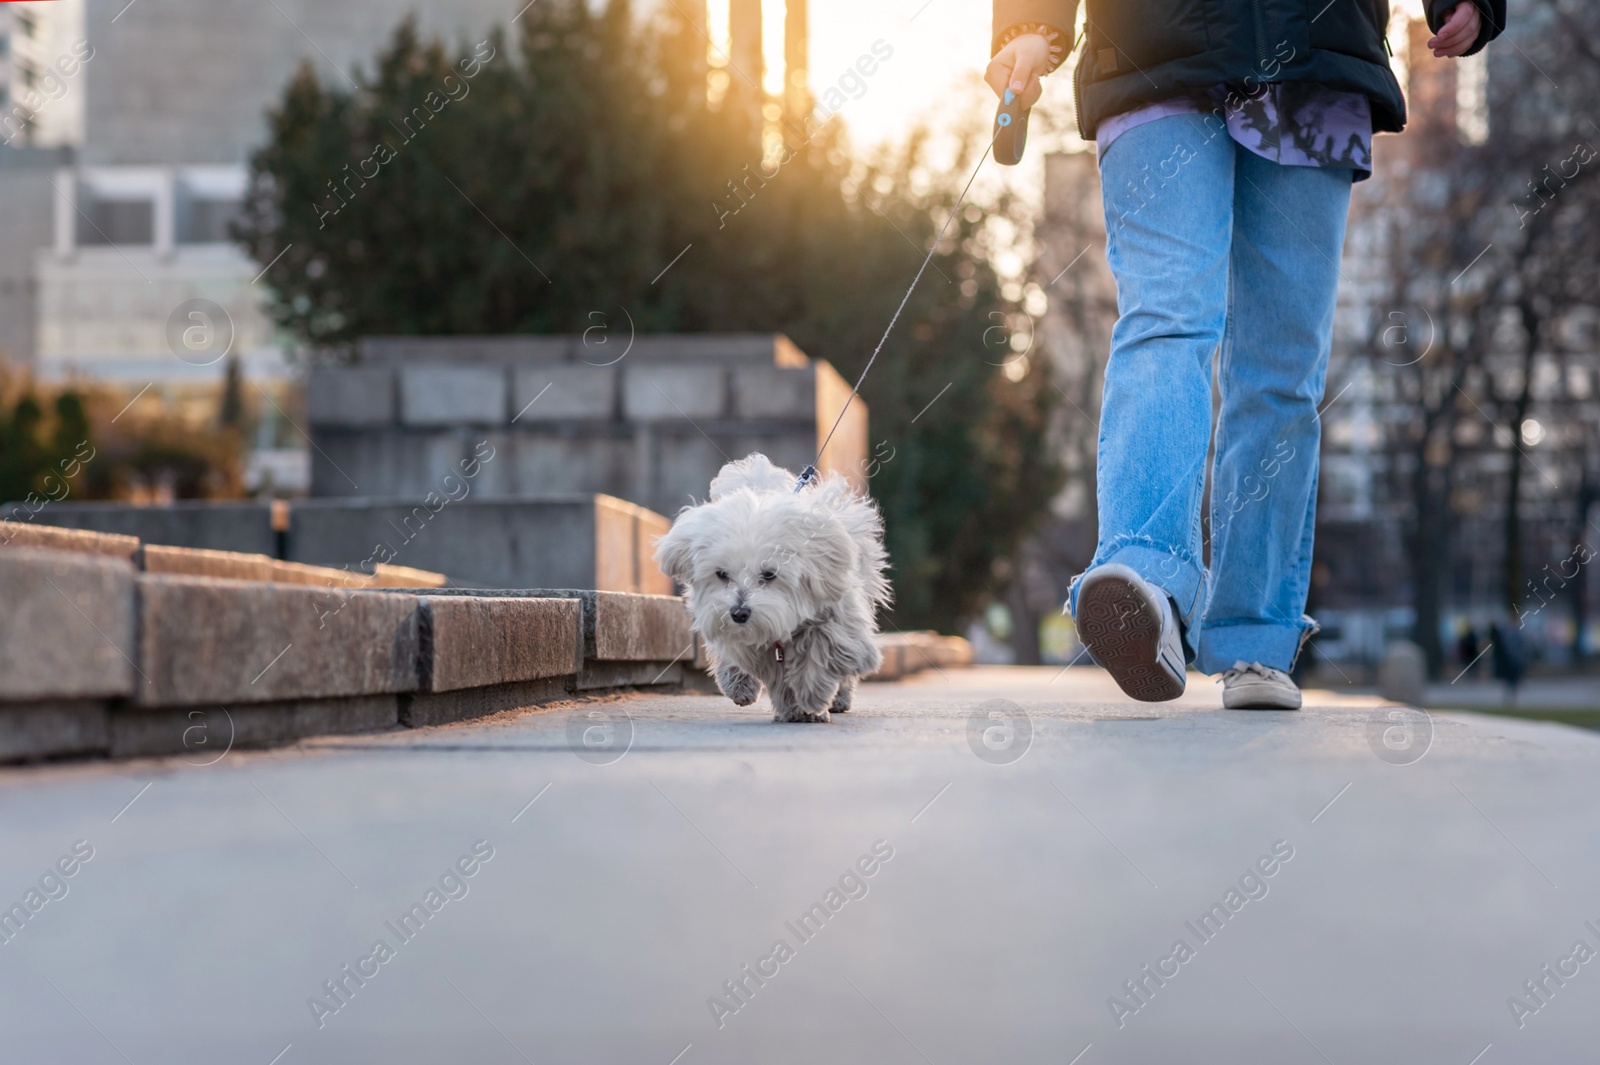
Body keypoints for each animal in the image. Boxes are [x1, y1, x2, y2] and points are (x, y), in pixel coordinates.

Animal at [656, 450, 896, 716]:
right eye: (721, 574)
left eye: (769, 574)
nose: (739, 613)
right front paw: (787, 703)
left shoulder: (836, 619)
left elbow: (824, 652)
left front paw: (811, 697)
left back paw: (839, 699)